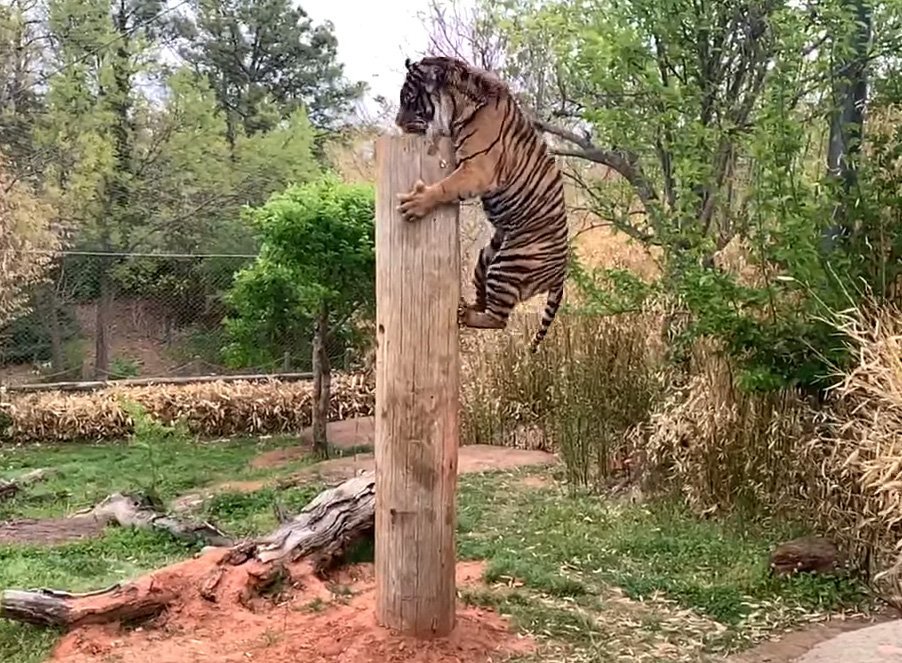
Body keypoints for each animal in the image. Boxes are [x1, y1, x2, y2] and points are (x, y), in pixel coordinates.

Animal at [394, 55, 568, 356]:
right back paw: (466, 305)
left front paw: (416, 203)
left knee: (499, 320)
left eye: (411, 100)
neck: (458, 106)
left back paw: (465, 314)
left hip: (509, 264)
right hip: (486, 259)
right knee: (485, 299)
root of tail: (562, 273)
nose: (397, 124)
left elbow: (445, 187)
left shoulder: (477, 170)